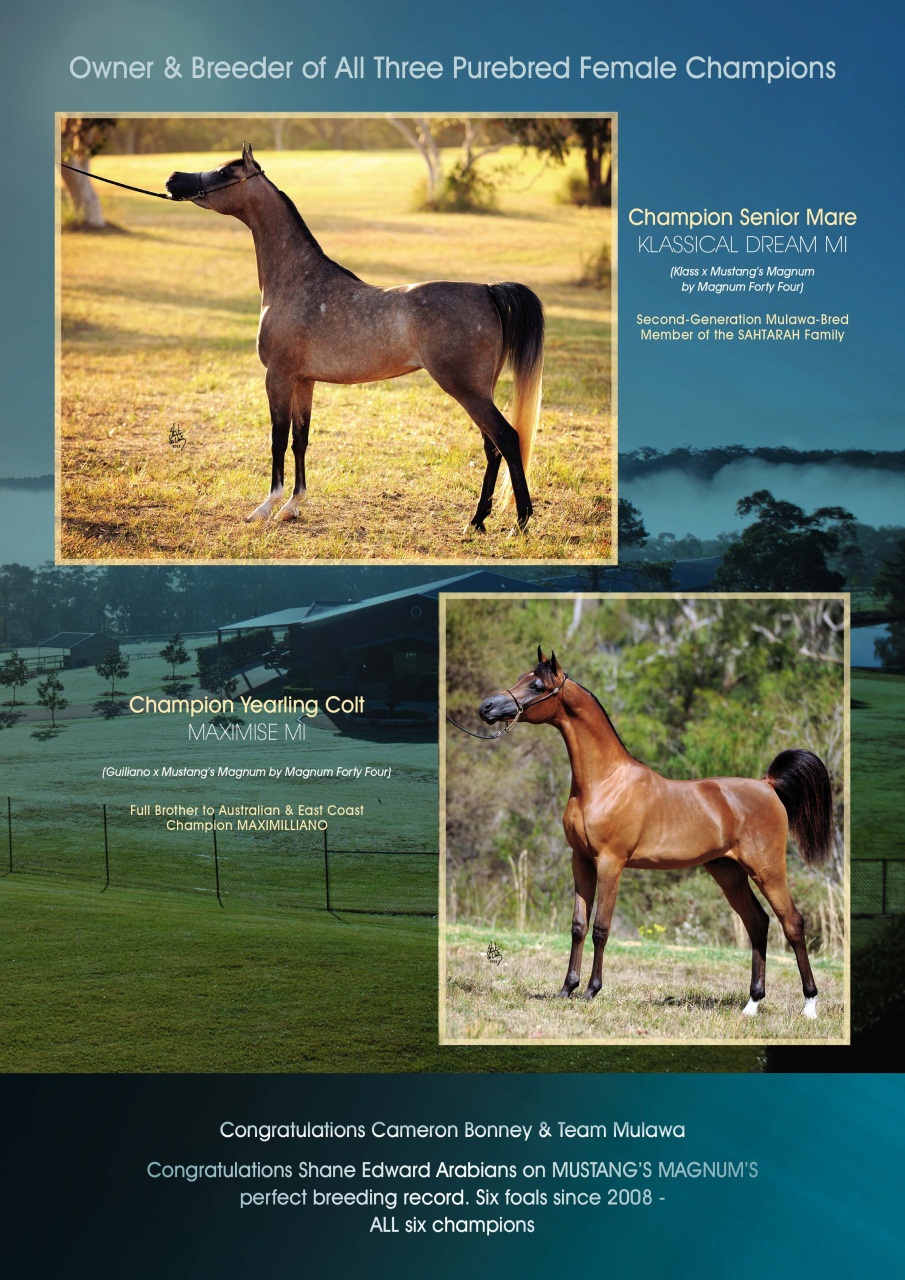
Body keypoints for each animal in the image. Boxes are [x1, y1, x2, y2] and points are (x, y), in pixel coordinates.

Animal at [165, 144, 544, 532]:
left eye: (224, 172)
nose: (173, 179)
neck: (297, 280)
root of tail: (487, 290)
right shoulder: (304, 381)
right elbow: (300, 440)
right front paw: (293, 506)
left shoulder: (278, 378)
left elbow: (278, 440)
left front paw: (266, 507)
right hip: (480, 391)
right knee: (492, 447)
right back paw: (477, 520)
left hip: (468, 390)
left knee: (507, 439)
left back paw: (519, 522)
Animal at [477, 648, 837, 1019]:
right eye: (520, 677)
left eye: (536, 685)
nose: (486, 707)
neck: (603, 782)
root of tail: (768, 786)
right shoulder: (581, 860)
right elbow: (578, 925)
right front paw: (566, 989)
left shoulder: (611, 862)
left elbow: (600, 928)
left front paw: (591, 990)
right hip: (728, 871)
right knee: (758, 923)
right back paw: (752, 1004)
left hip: (768, 870)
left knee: (792, 923)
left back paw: (810, 1005)